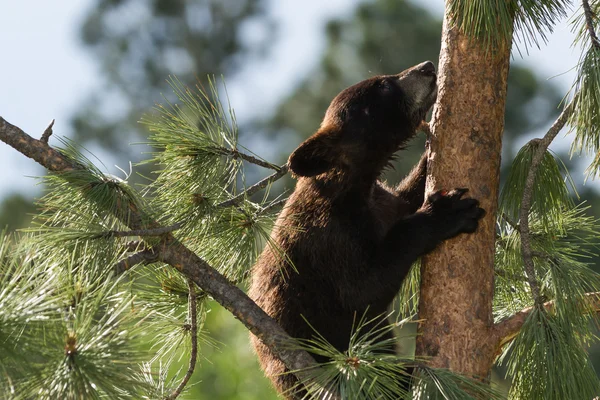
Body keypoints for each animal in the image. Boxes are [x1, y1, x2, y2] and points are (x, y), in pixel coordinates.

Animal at [247, 61, 482, 398]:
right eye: (383, 85)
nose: (426, 67)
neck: (356, 188)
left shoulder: (381, 203)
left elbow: (404, 199)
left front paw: (427, 158)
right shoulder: (331, 236)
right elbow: (364, 288)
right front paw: (448, 212)